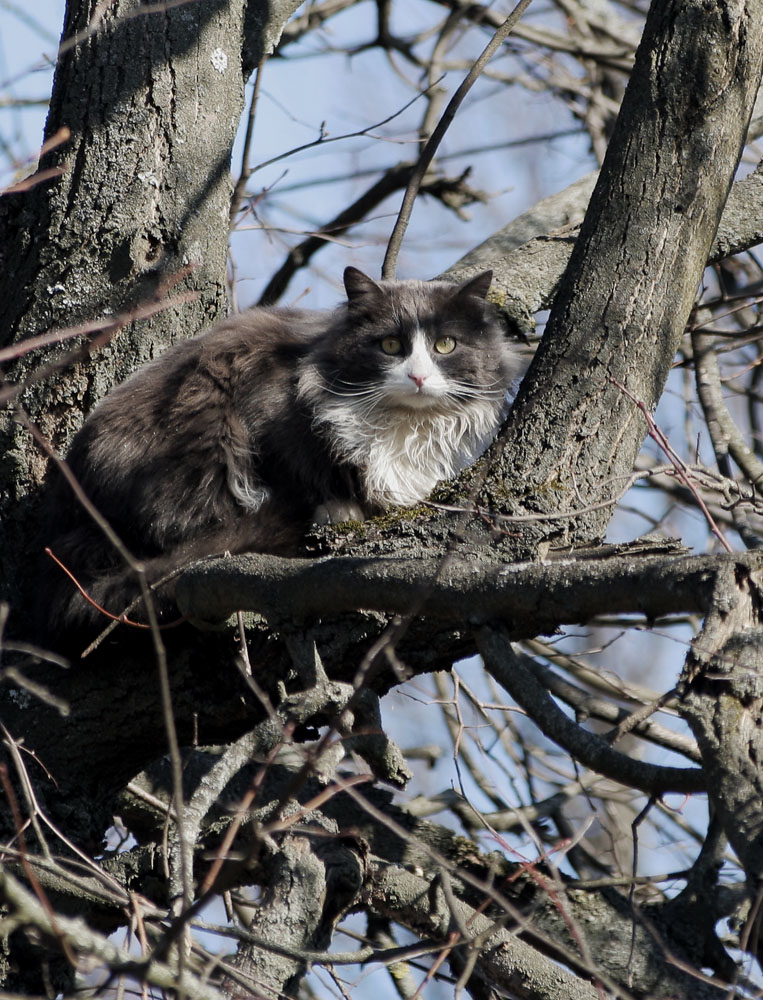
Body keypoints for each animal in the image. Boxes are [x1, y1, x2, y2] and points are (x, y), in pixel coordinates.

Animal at [38, 266, 528, 640]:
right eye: (390, 345)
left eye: (446, 345)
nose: (419, 377)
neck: (402, 424)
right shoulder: (269, 405)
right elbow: (304, 471)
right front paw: (339, 510)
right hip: (202, 418)